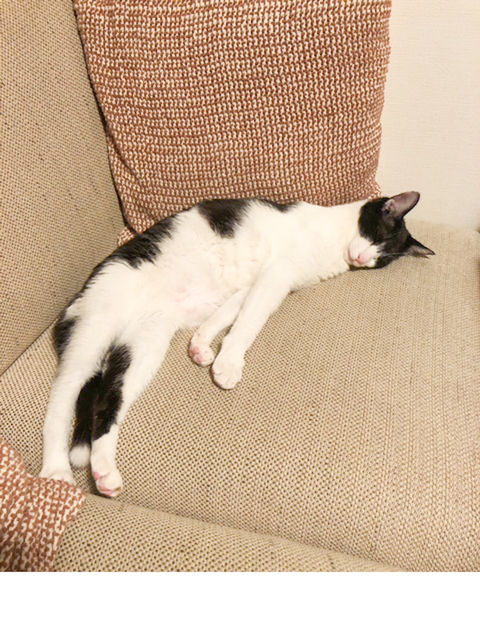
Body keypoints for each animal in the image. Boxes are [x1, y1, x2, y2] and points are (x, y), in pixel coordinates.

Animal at [40, 191, 434, 497]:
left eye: (382, 259)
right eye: (376, 236)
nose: (365, 258)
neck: (331, 245)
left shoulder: (254, 285)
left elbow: (228, 315)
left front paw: (202, 345)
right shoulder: (275, 277)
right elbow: (248, 324)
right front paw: (228, 364)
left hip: (145, 347)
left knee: (109, 399)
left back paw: (104, 471)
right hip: (93, 332)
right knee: (62, 400)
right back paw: (57, 471)